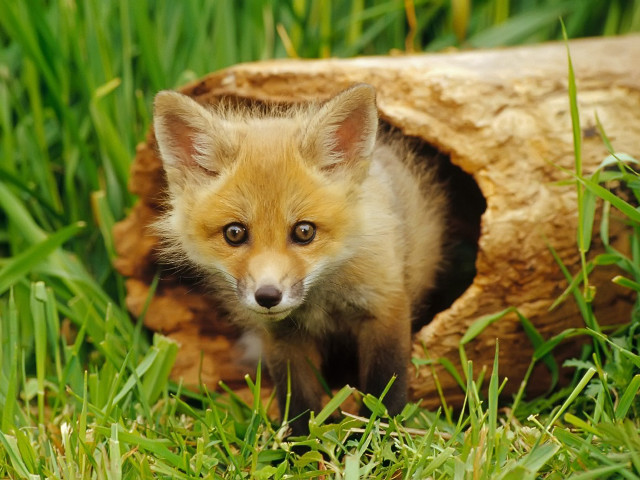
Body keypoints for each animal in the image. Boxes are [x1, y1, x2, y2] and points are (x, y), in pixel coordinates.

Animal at [152, 84, 446, 436]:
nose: (267, 296)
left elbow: (384, 391)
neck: (322, 301)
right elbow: (299, 403)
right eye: (235, 233)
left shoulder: (385, 307)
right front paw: (300, 445)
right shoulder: (284, 337)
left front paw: (378, 440)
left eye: (304, 231)